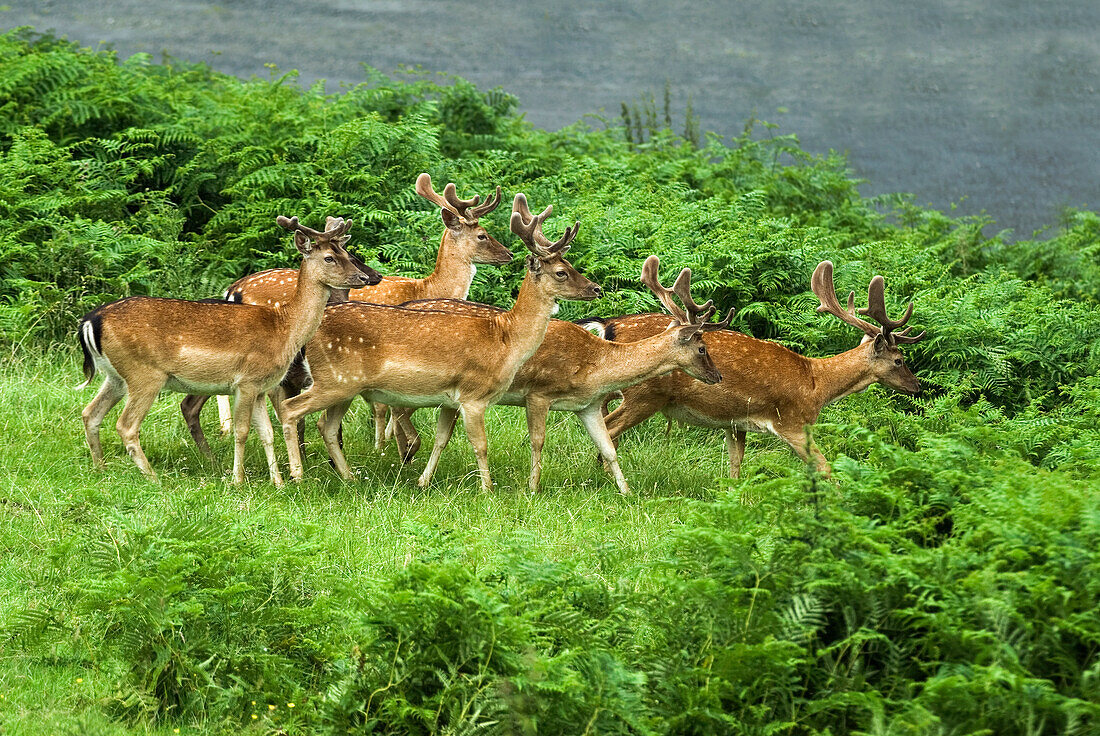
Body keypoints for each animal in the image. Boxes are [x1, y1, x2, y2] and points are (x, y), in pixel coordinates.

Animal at [77, 215, 378, 484]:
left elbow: (267, 432)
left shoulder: (261, 386)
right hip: (145, 374)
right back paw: (154, 478)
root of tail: (91, 320)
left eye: (344, 251)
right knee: (126, 425)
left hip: (115, 375)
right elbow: (242, 431)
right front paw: (238, 480)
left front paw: (279, 483)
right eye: (329, 257)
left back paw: (100, 469)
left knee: (90, 413)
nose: (364, 277)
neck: (283, 328)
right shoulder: (246, 381)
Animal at [187, 173, 512, 448]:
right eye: (483, 235)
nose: (509, 253)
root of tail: (233, 289)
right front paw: (383, 447)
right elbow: (383, 405)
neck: (428, 288)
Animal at [275, 192, 602, 488]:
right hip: (334, 380)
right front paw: (487, 489)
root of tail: (311, 334)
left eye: (571, 265)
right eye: (561, 272)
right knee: (290, 410)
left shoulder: (450, 399)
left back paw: (349, 477)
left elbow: (441, 439)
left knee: (326, 426)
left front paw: (423, 481)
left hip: (345, 385)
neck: (506, 339)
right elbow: (481, 445)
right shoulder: (473, 394)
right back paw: (297, 476)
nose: (596, 289)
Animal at [389, 254, 730, 492]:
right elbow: (538, 441)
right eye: (703, 348)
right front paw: (532, 488)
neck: (596, 364)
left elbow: (608, 448)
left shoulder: (587, 405)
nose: (717, 377)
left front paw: (628, 492)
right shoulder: (539, 393)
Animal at [589, 258, 924, 477]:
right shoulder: (792, 421)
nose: (917, 386)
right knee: (609, 429)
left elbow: (736, 465)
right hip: (644, 394)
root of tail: (608, 326)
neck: (817, 384)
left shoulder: (735, 422)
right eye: (899, 360)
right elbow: (824, 467)